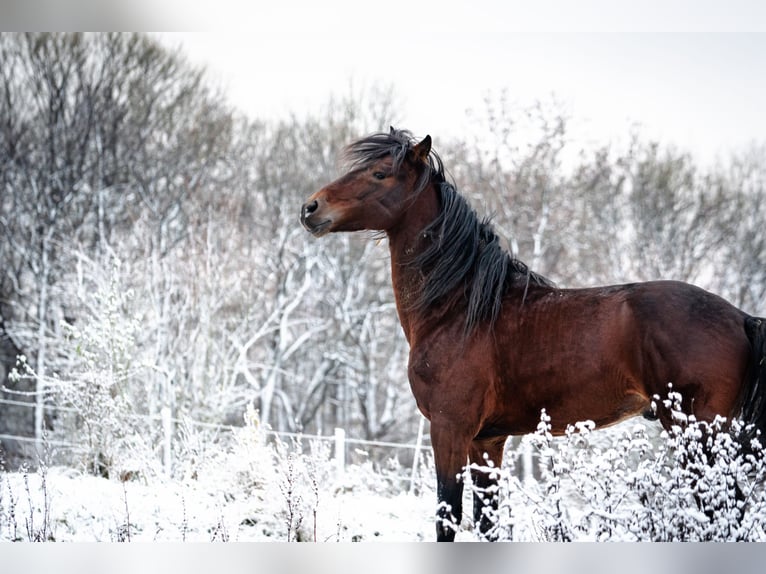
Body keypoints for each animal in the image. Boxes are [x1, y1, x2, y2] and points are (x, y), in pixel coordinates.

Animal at [298, 128, 766, 544]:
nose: (310, 208)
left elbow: (447, 518)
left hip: (698, 439)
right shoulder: (487, 440)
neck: (459, 307)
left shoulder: (449, 430)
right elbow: (487, 522)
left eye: (380, 174)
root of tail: (740, 318)